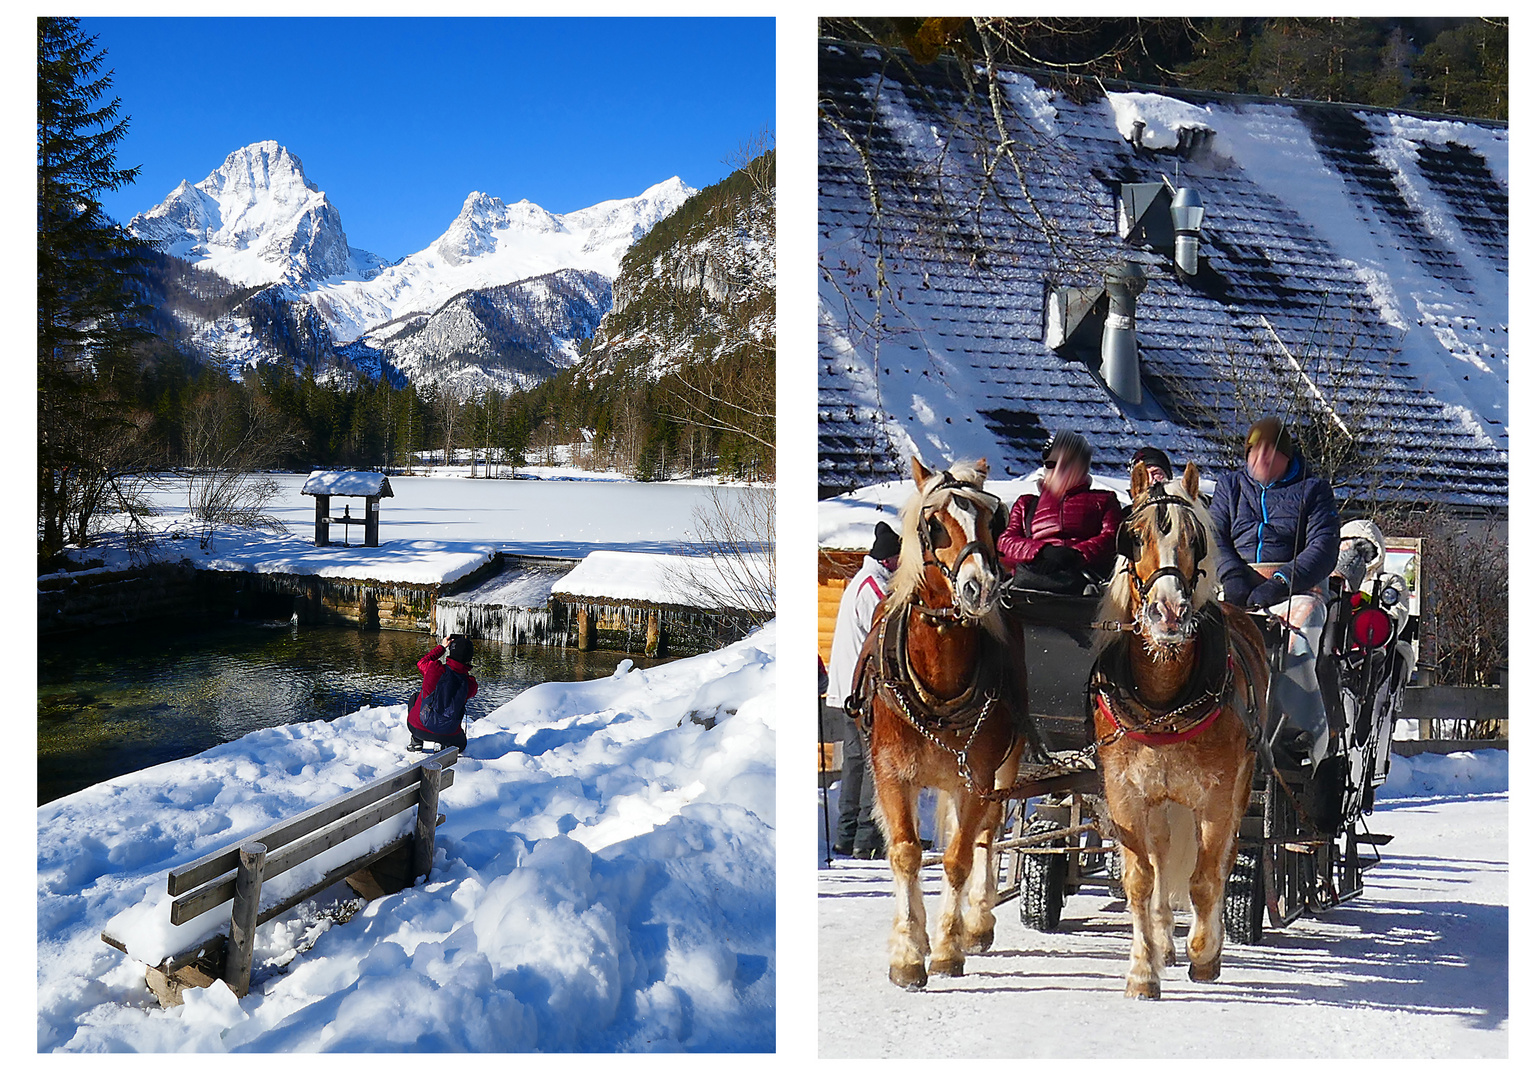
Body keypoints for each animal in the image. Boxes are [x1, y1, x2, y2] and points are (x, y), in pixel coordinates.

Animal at [851, 453, 1029, 986]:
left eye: (993, 520)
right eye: (934, 524)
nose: (980, 587)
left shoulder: (976, 778)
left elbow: (957, 858)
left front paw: (949, 946)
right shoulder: (891, 773)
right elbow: (906, 853)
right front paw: (909, 950)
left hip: (1004, 767)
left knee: (989, 834)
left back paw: (978, 920)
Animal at [1090, 459, 1268, 998]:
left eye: (1195, 537)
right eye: (1134, 537)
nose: (1168, 611)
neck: (1164, 702)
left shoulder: (1216, 797)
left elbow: (1206, 879)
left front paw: (1204, 954)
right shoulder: (1126, 795)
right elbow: (1142, 881)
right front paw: (1143, 968)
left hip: (1239, 789)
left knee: (1222, 862)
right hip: (1163, 804)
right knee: (1164, 862)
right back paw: (1164, 941)